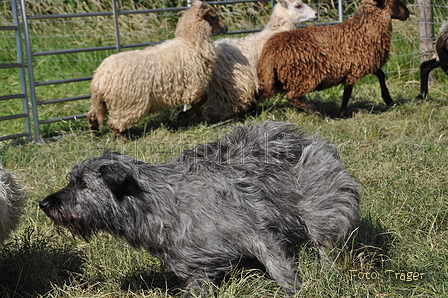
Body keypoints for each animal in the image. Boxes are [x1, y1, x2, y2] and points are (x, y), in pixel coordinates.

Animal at [39, 121, 360, 296]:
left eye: (82, 183)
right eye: (72, 180)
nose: (44, 204)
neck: (159, 201)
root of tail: (300, 136)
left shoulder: (257, 234)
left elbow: (280, 268)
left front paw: (296, 290)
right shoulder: (195, 267)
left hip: (320, 207)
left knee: (325, 245)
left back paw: (330, 272)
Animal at [87, 0, 228, 137]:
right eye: (213, 16)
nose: (226, 28)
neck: (191, 43)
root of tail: (98, 79)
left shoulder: (191, 88)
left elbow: (199, 103)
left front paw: (199, 119)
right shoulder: (194, 85)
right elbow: (203, 100)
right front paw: (184, 115)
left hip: (102, 103)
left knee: (92, 115)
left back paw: (96, 135)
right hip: (127, 105)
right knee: (113, 123)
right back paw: (124, 139)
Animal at [258, 0, 408, 117]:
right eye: (393, 1)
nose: (408, 13)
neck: (363, 31)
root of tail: (270, 51)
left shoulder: (358, 65)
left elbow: (376, 77)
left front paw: (388, 100)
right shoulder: (359, 66)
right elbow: (351, 90)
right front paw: (342, 114)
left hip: (274, 78)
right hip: (306, 76)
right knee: (291, 96)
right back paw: (317, 110)